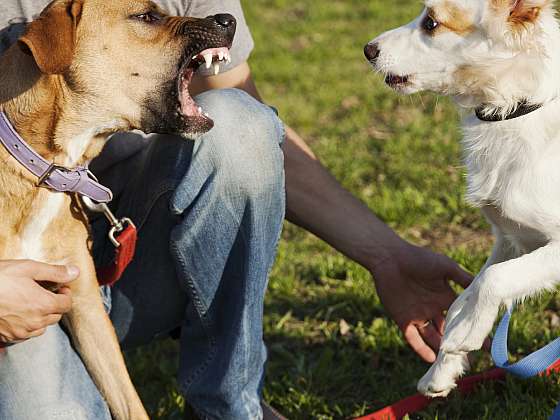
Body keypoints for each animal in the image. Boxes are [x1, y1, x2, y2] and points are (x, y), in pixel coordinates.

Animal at [368, 0, 560, 398]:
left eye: (431, 23)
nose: (367, 50)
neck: (515, 109)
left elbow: (495, 280)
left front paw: (466, 334)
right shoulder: (511, 239)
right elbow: (469, 291)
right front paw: (444, 365)